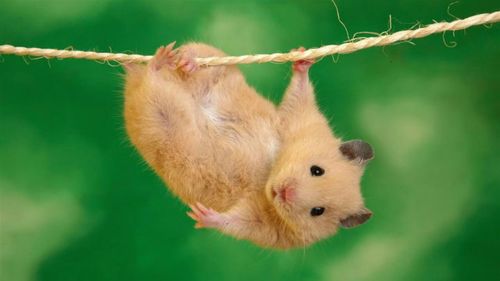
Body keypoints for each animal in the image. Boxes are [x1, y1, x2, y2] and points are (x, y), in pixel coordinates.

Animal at [123, 42, 374, 248]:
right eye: (317, 170)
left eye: (318, 211)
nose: (284, 192)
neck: (270, 173)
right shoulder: (299, 120)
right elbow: (299, 95)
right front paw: (302, 57)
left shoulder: (267, 228)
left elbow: (236, 222)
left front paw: (200, 215)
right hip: (214, 68)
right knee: (196, 56)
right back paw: (179, 60)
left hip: (158, 117)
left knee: (151, 83)